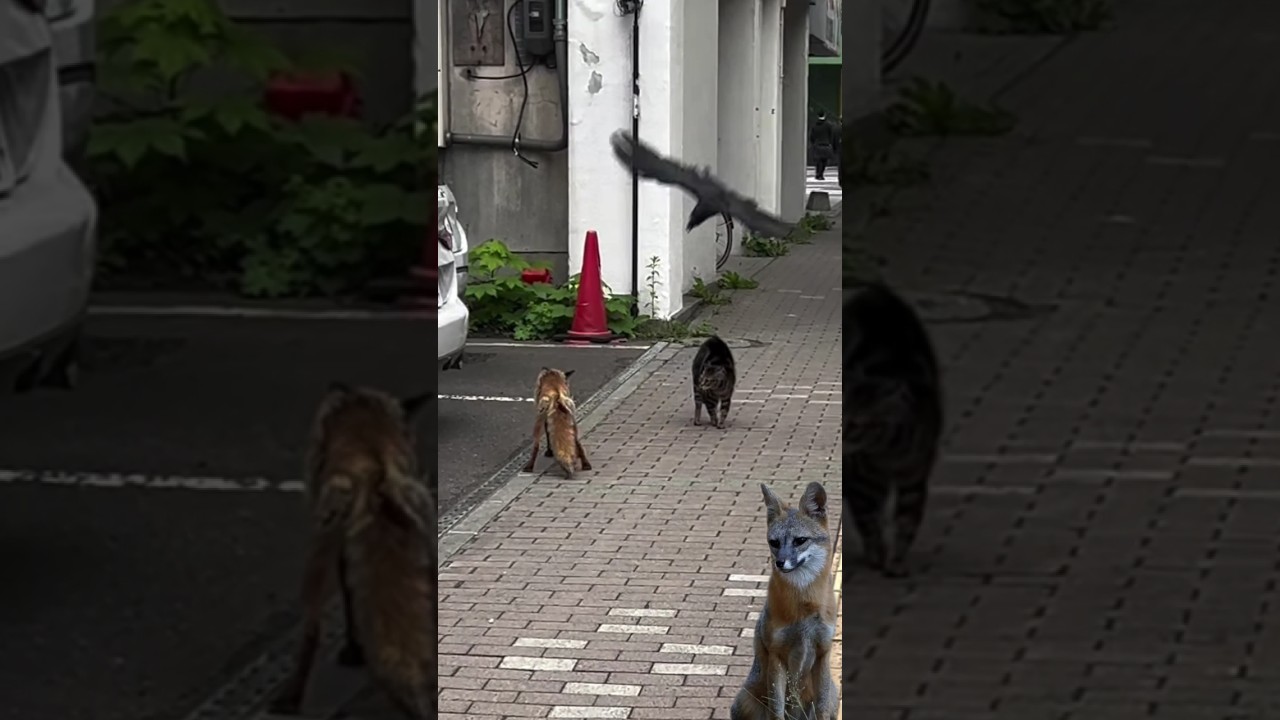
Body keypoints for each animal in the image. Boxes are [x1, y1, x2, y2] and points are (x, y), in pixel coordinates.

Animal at [270, 382, 435, 720]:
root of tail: (377, 481)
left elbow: (336, 607)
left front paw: (351, 649)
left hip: (316, 561)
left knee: (311, 630)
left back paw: (291, 696)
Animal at [731, 482, 838, 720]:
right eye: (774, 542)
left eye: (800, 541)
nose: (780, 563)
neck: (804, 605)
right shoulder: (776, 655)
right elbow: (777, 710)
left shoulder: (823, 652)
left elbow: (822, 707)